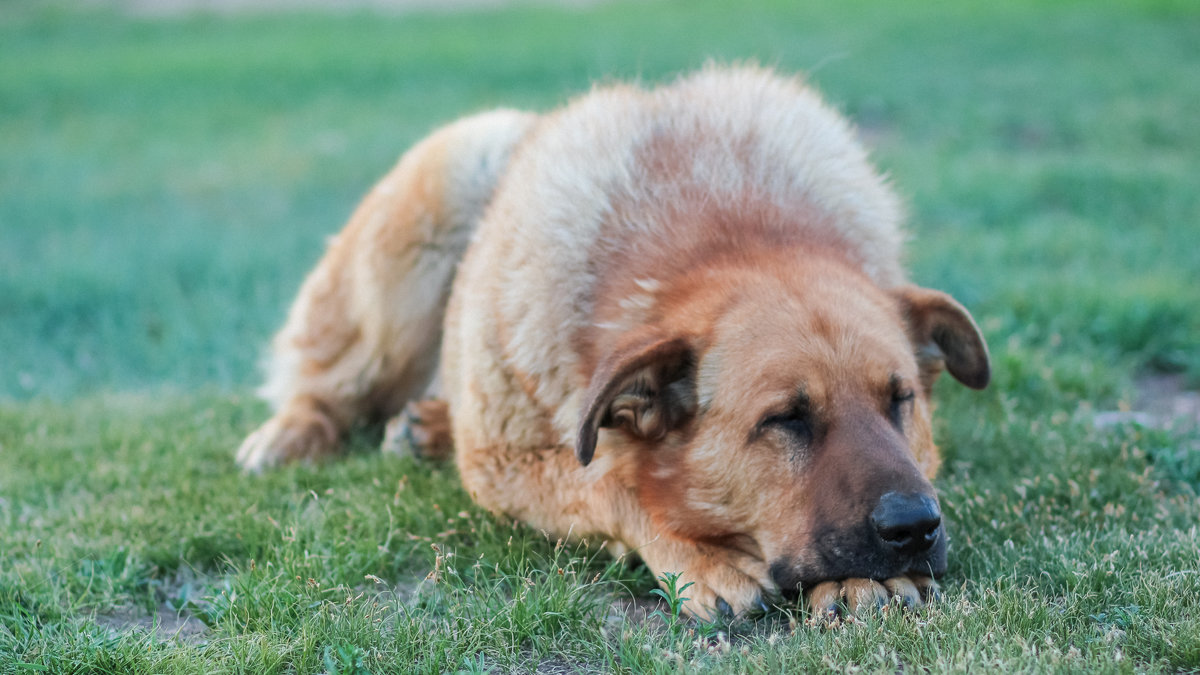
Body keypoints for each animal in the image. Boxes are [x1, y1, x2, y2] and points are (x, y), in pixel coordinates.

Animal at [234, 65, 984, 619]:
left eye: (901, 401)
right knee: (327, 377)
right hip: (433, 207)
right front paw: (701, 555)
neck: (729, 229)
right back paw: (295, 431)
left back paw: (427, 425)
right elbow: (609, 481)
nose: (915, 526)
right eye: (785, 419)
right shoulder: (502, 462)